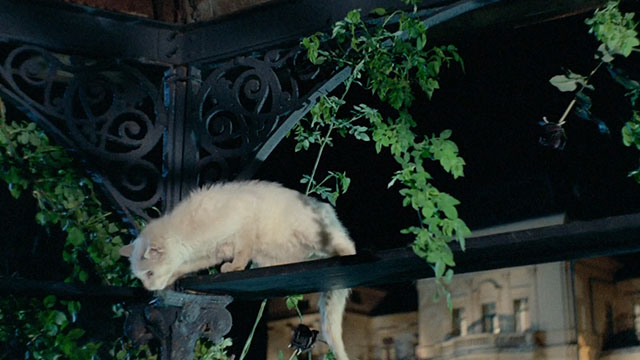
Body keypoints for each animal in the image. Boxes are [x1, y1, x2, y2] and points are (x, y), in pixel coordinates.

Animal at [119, 181, 356, 360]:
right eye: (141, 278)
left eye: (149, 274)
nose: (149, 288)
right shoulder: (210, 253)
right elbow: (188, 266)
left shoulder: (245, 221)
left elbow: (242, 251)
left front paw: (235, 266)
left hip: (311, 232)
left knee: (345, 242)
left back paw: (344, 252)